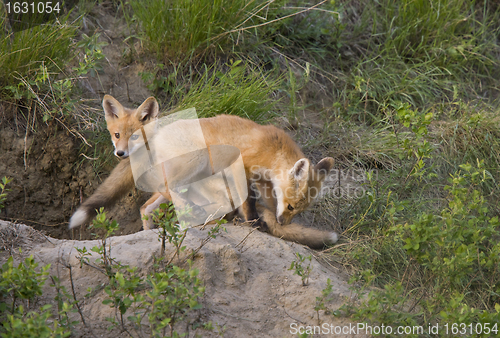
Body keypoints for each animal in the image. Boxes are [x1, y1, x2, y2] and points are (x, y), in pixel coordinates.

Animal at [68, 95, 338, 248]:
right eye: (291, 206)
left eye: (298, 210)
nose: (284, 221)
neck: (273, 150)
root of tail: (155, 134)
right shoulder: (240, 167)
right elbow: (248, 201)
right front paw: (254, 222)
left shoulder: (263, 180)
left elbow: (267, 202)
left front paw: (272, 225)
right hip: (195, 162)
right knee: (170, 191)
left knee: (150, 204)